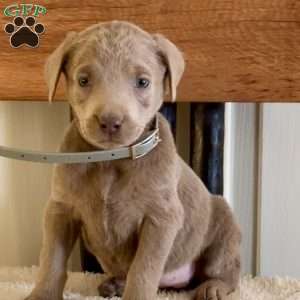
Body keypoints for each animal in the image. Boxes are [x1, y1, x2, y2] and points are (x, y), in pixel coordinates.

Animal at [25, 21, 241, 300]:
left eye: (143, 82)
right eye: (83, 80)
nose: (110, 121)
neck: (109, 160)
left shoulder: (161, 217)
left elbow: (143, 269)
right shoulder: (60, 209)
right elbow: (51, 258)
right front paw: (42, 294)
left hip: (223, 224)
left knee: (226, 268)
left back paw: (213, 287)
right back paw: (115, 284)